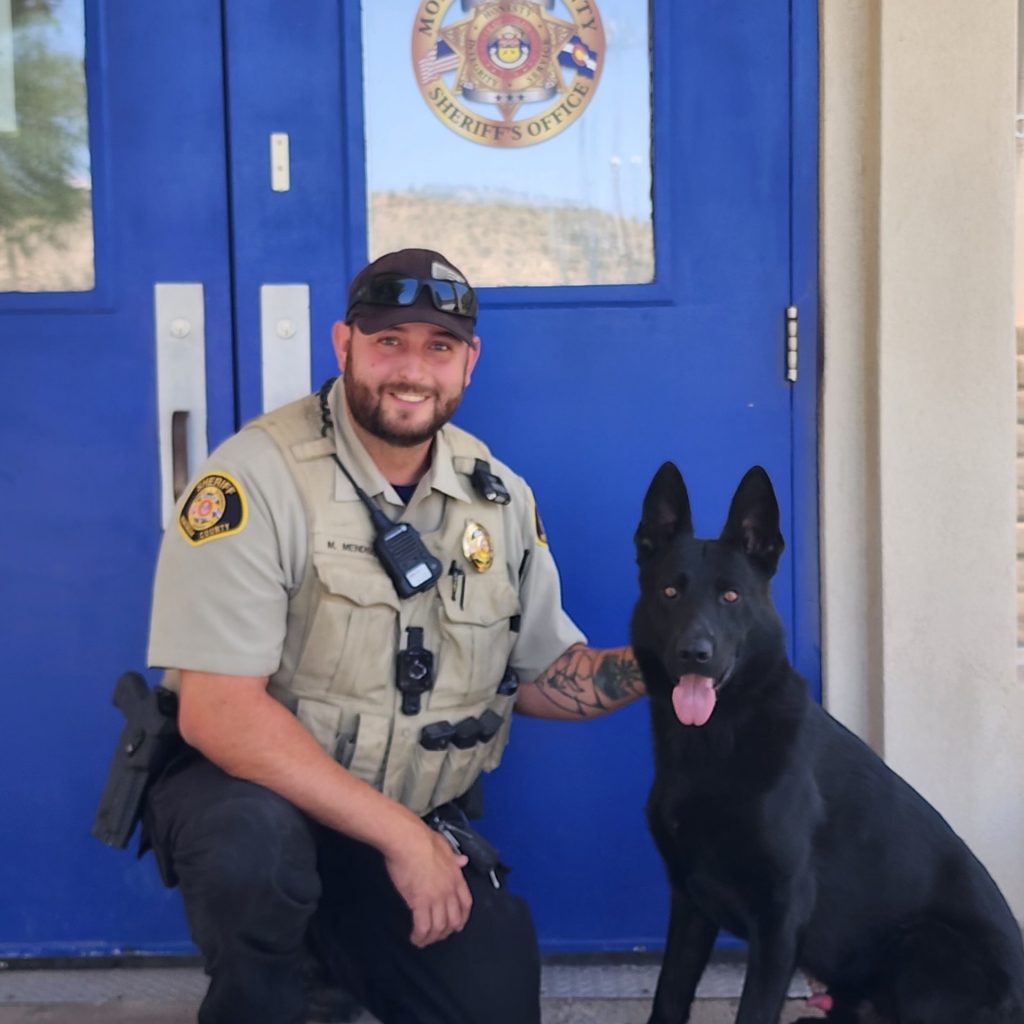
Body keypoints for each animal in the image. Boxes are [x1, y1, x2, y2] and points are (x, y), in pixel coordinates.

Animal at [630, 464, 1024, 1024]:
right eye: (669, 592)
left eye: (731, 596)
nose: (694, 654)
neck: (714, 743)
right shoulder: (690, 902)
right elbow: (668, 996)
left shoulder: (779, 915)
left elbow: (753, 1011)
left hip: (919, 945)